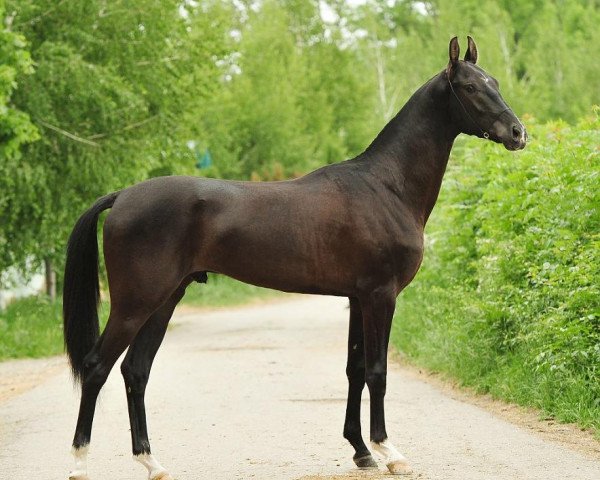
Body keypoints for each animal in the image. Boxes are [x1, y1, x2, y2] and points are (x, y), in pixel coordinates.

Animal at [63, 38, 528, 480]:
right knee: (97, 368)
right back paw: (79, 464)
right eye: (471, 87)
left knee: (135, 372)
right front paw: (390, 452)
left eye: (495, 82)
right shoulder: (381, 296)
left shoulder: (357, 298)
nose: (518, 133)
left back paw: (153, 463)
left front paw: (361, 451)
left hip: (164, 300)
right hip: (135, 303)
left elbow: (354, 369)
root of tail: (123, 196)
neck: (386, 186)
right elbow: (377, 372)